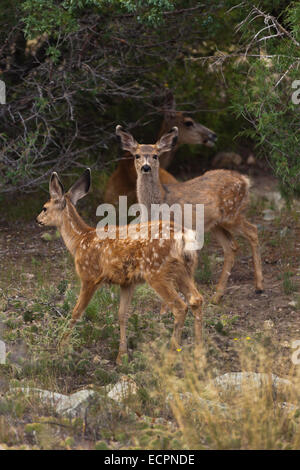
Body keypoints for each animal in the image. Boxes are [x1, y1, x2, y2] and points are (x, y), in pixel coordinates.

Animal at [35, 169, 204, 364]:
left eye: (44, 207)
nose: (37, 219)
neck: (79, 240)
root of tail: (184, 237)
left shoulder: (89, 276)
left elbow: (76, 312)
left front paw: (61, 346)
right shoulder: (127, 282)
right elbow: (122, 314)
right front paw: (121, 356)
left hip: (157, 272)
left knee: (180, 307)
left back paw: (171, 355)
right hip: (185, 270)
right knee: (196, 300)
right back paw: (199, 353)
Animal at [116, 124, 264, 304]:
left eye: (155, 156)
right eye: (137, 155)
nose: (146, 167)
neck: (158, 203)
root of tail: (245, 180)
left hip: (232, 214)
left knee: (252, 231)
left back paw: (259, 287)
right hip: (215, 224)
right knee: (231, 246)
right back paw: (217, 296)